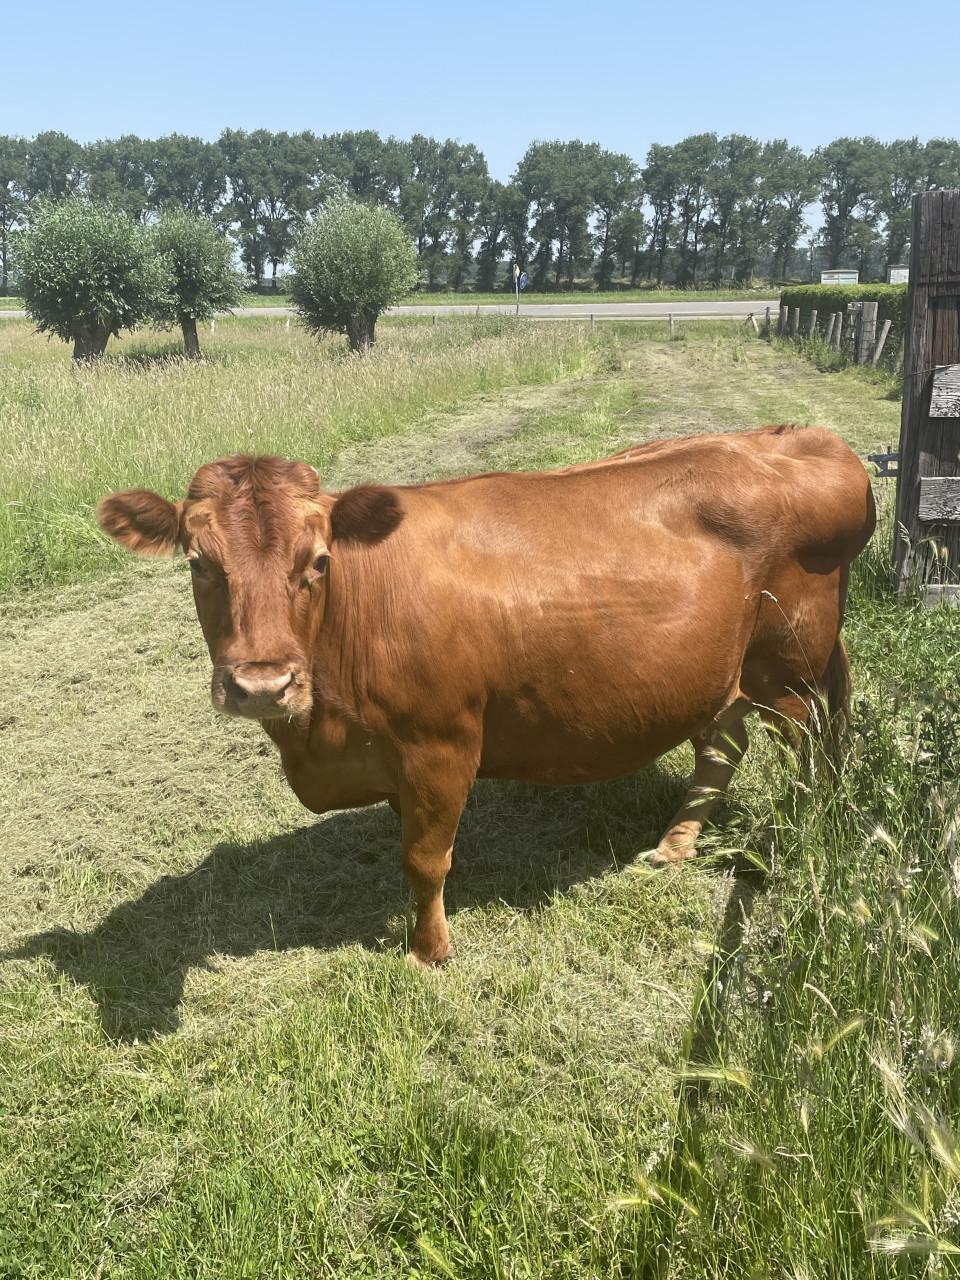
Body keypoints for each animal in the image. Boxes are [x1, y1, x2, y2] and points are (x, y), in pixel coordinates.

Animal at [97, 426, 876, 968]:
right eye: (198, 564)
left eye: (317, 562)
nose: (261, 684)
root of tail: (802, 439)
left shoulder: (442, 743)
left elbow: (425, 857)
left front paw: (429, 951)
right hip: (724, 673)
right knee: (723, 745)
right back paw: (673, 846)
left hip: (789, 668)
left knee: (811, 748)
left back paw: (807, 831)